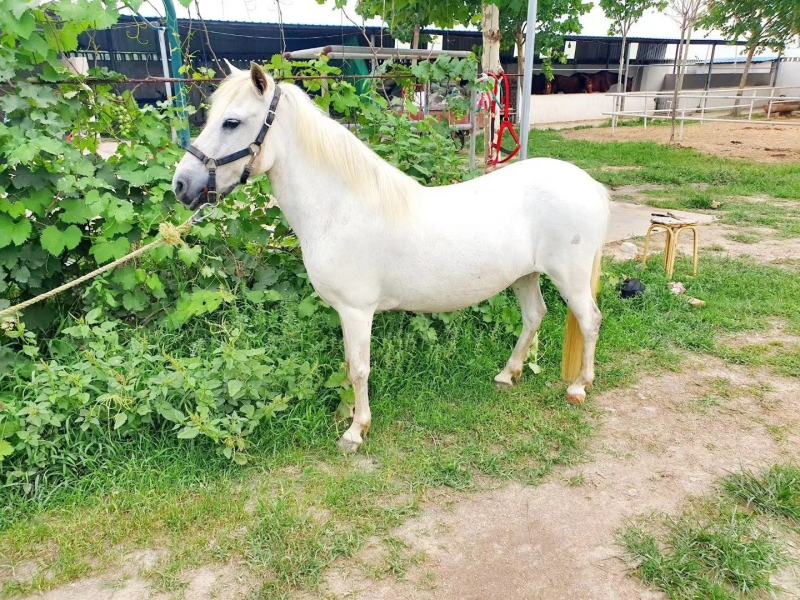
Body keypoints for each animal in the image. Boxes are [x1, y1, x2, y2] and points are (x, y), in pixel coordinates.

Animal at [172, 63, 609, 453]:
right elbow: (349, 365)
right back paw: (508, 374)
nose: (181, 184)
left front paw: (355, 431)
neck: (340, 208)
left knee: (589, 320)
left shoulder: (356, 310)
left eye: (231, 122)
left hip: (569, 277)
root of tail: (590, 186)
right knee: (535, 316)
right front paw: (346, 415)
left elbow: (358, 367)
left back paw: (578, 387)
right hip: (524, 275)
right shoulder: (344, 312)